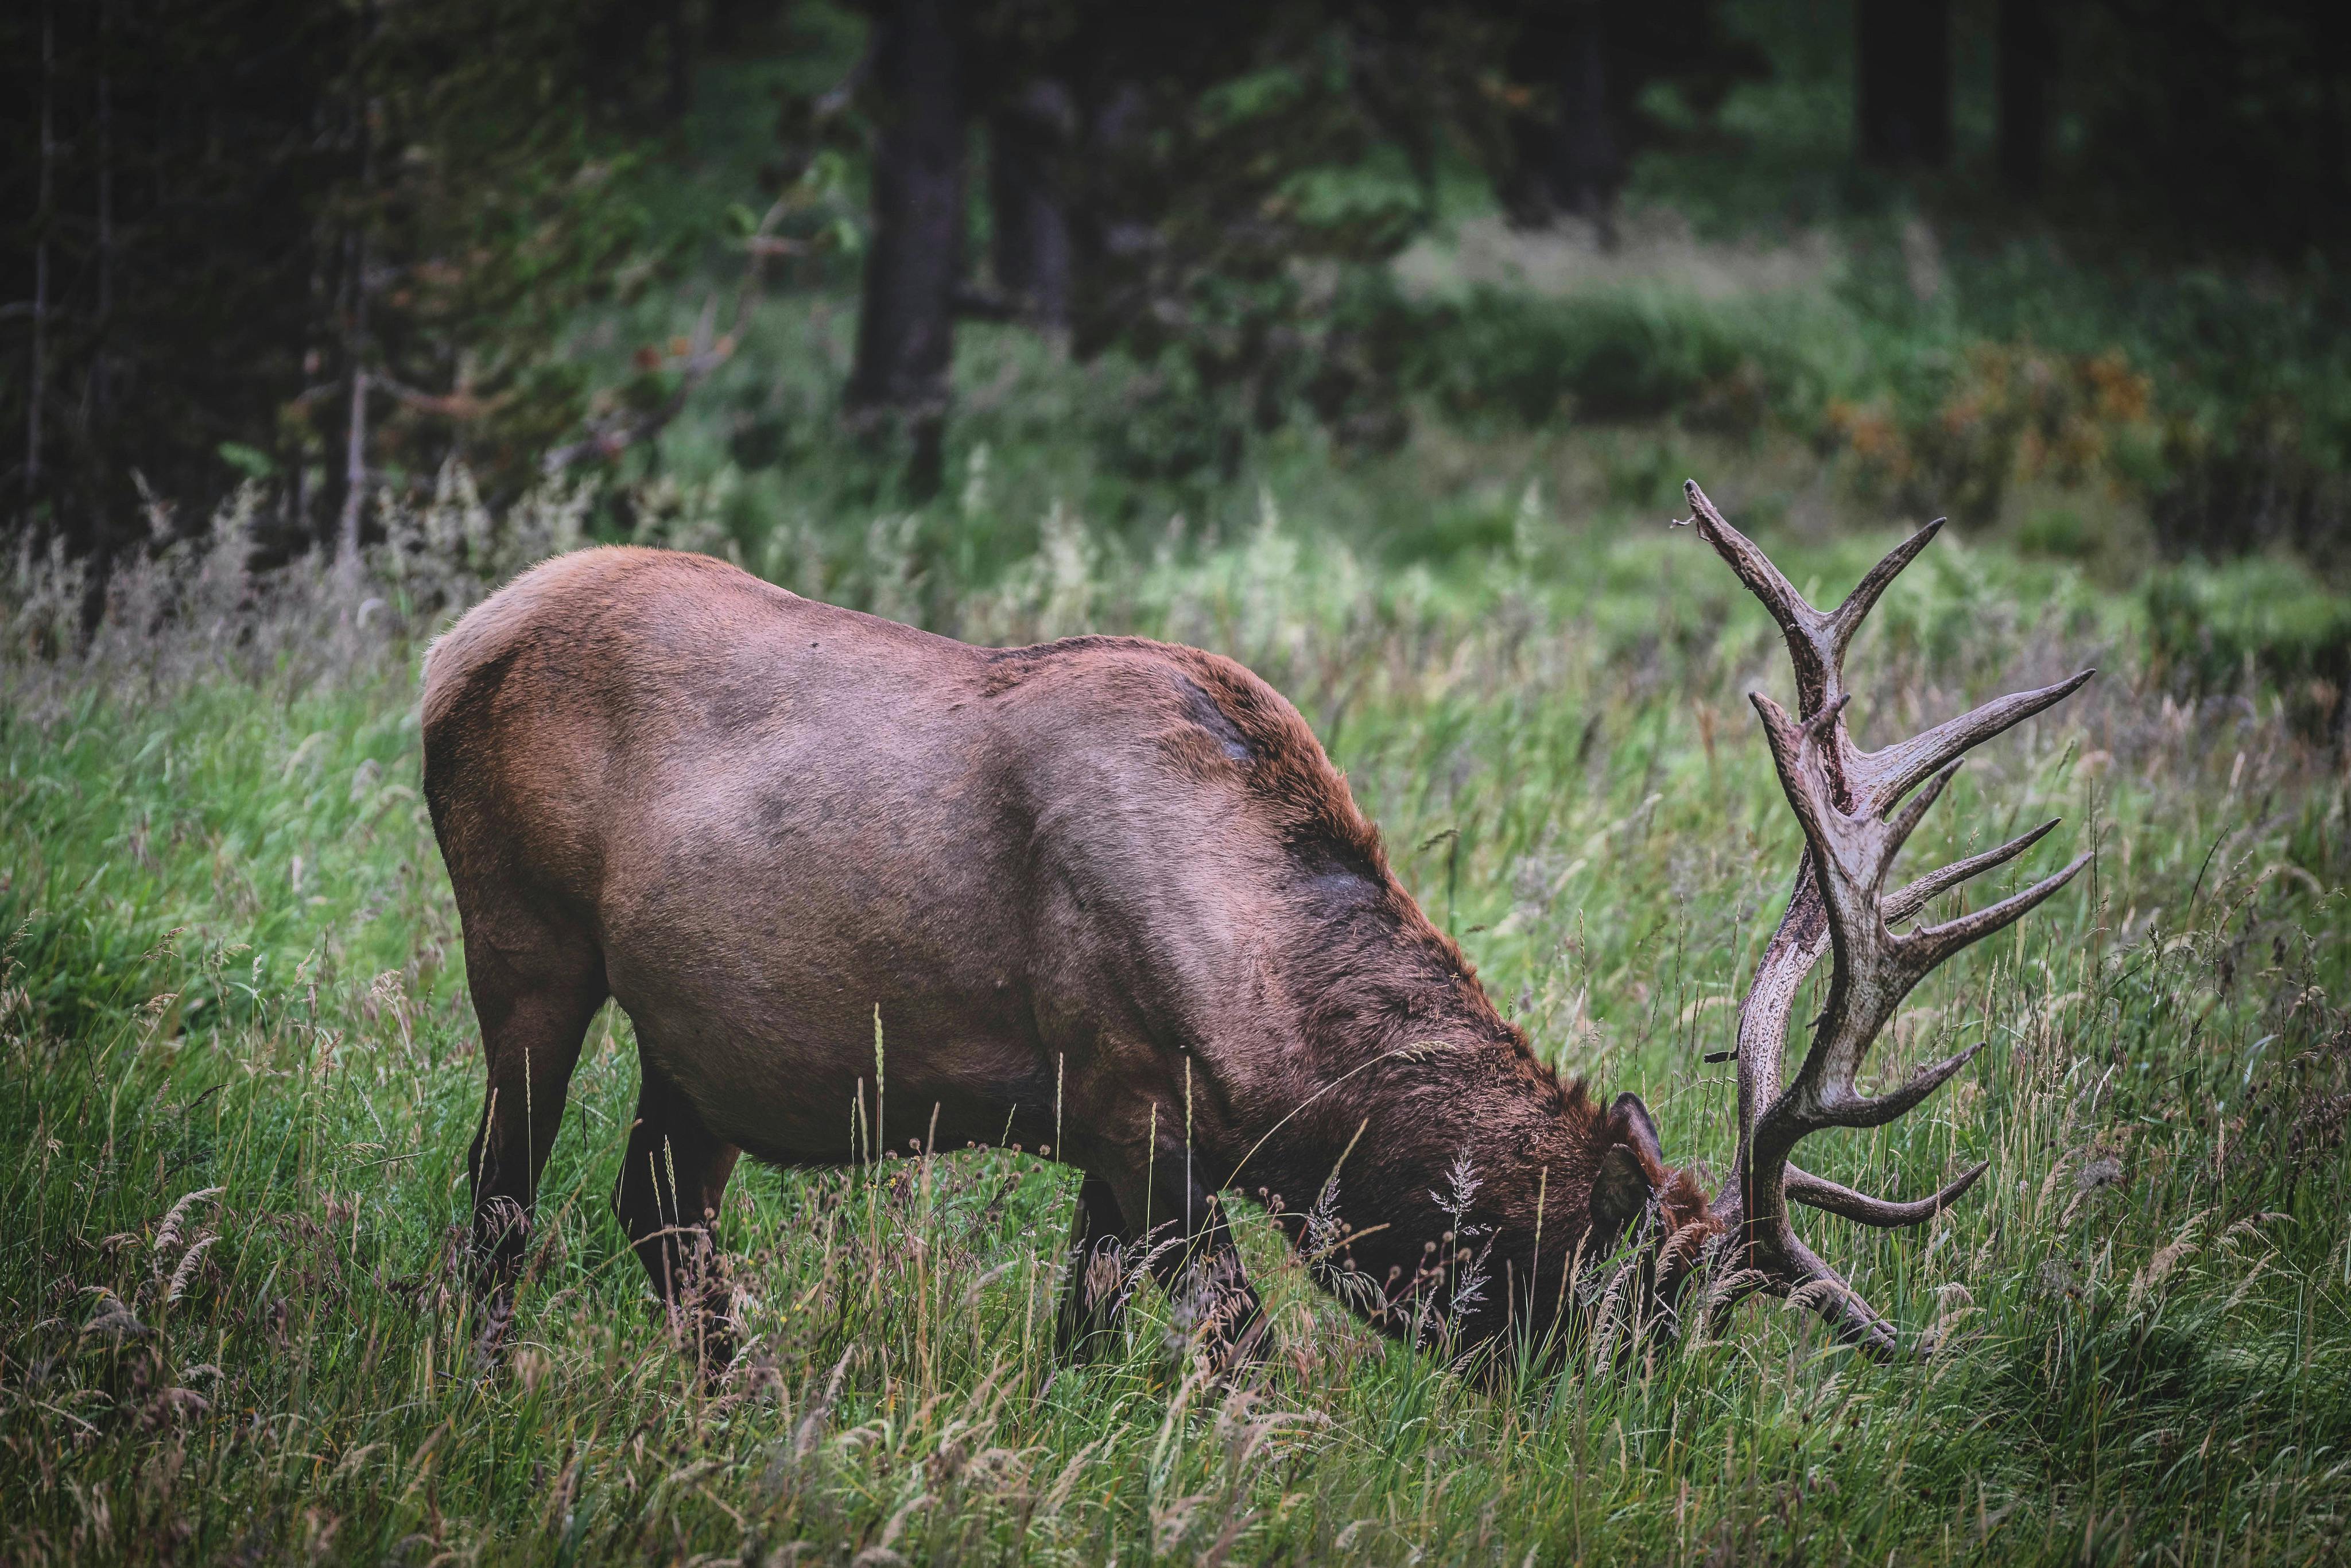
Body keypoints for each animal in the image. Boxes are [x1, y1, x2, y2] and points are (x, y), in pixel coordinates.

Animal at [428, 479, 2097, 1373]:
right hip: (525, 946)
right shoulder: (1135, 1110)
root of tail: (454, 642)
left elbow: (1084, 1337)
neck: (1284, 1044)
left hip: (698, 1045)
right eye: (1651, 1309)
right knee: (503, 1201)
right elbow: (1242, 1352)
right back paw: (499, 1385)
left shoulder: (1110, 1152)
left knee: (661, 1217)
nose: (1635, 1431)